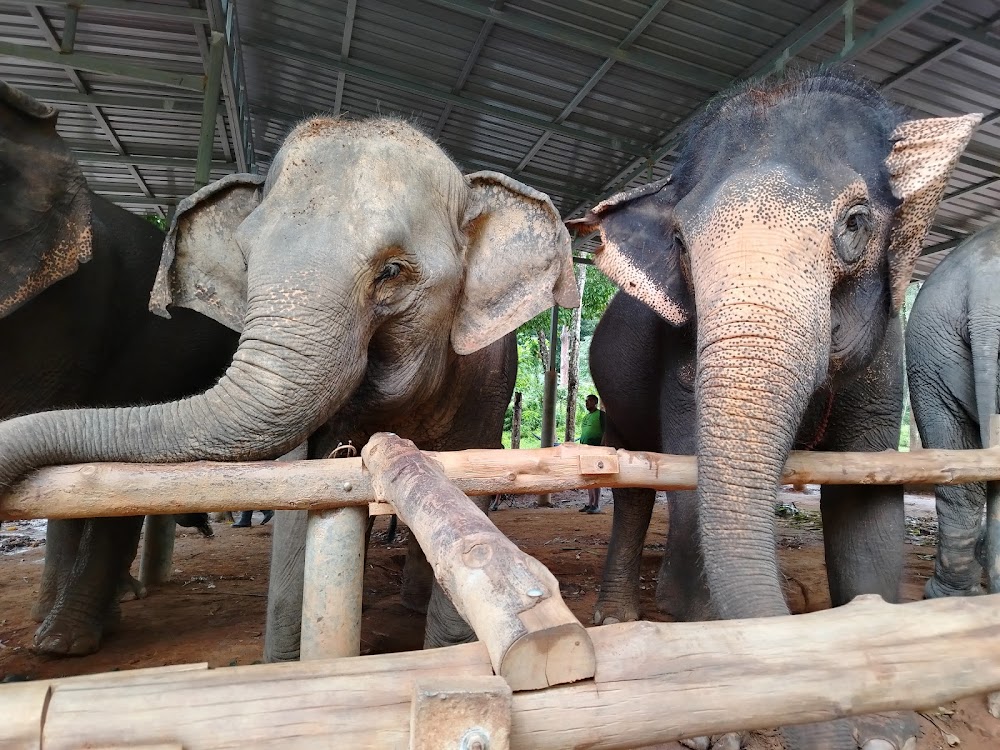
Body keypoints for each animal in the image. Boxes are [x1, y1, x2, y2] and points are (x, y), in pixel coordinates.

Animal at [570, 70, 978, 750]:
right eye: (681, 244)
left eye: (855, 223)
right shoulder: (680, 354)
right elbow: (691, 479)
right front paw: (716, 726)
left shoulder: (884, 358)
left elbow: (867, 501)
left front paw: (887, 728)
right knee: (634, 484)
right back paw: (620, 615)